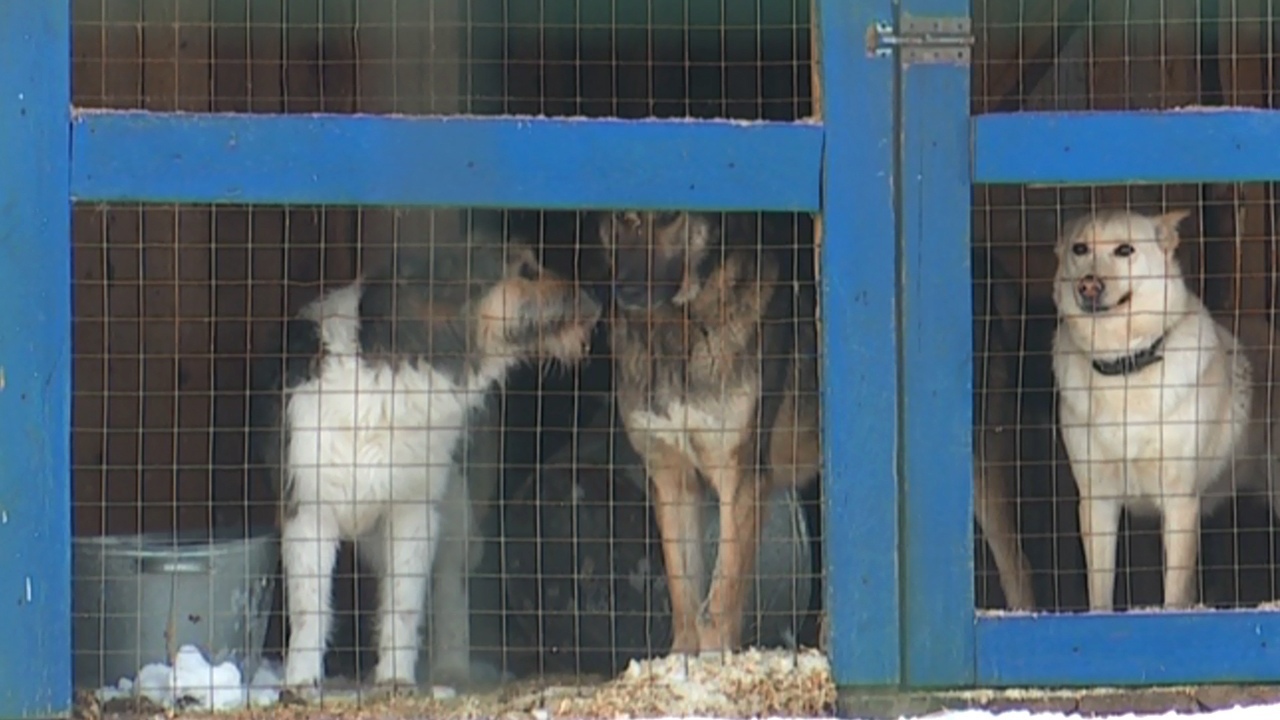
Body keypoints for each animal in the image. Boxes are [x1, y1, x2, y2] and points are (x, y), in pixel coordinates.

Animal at [256, 239, 604, 696]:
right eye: (525, 269)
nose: (598, 304)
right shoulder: (307, 511)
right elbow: (308, 608)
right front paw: (299, 683)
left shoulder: (414, 513)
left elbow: (404, 604)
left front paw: (396, 678)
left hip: (458, 511)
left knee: (451, 588)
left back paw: (452, 670)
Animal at [596, 208, 819, 650]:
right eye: (625, 217)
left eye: (669, 217)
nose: (624, 289)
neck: (676, 331)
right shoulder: (672, 480)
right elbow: (684, 593)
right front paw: (681, 659)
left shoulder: (741, 479)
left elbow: (720, 596)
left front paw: (716, 657)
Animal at [1049, 208, 1280, 609]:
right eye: (1079, 249)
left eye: (1125, 250)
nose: (1088, 285)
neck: (1125, 365)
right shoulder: (1097, 502)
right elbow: (1099, 592)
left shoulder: (1180, 502)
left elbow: (1174, 594)